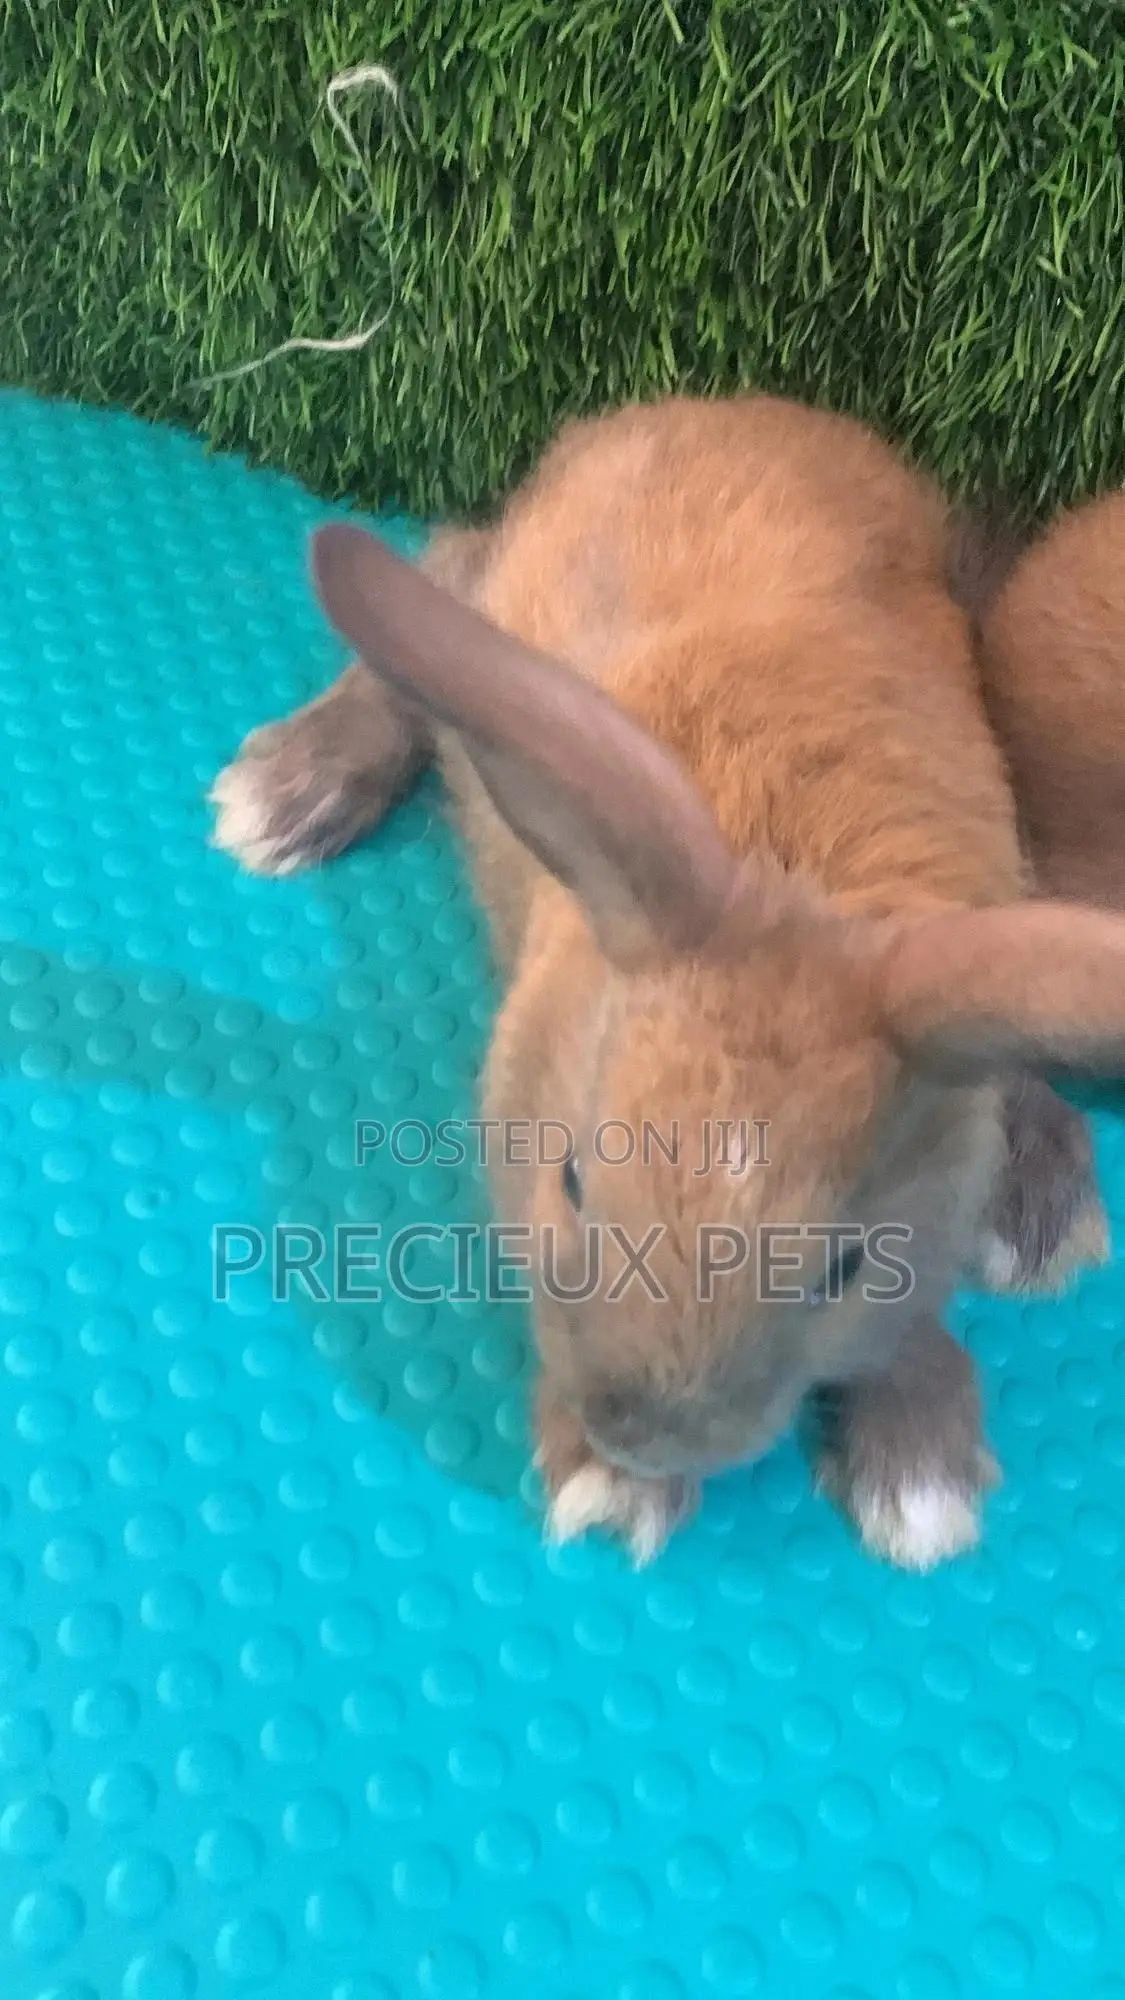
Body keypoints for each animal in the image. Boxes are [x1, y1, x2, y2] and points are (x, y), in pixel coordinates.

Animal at [211, 394, 1125, 1570]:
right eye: (570, 1182)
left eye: (843, 1268)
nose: (637, 1436)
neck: (798, 861)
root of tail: (712, 407)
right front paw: (608, 1495)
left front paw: (921, 1471)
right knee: (444, 566)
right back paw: (288, 793)